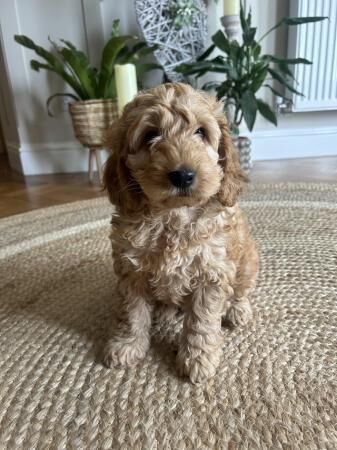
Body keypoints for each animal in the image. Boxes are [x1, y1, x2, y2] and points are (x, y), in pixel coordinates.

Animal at [102, 81, 258, 384]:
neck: (172, 216)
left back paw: (237, 309)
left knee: (241, 290)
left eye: (201, 132)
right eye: (151, 135)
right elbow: (132, 312)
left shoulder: (212, 272)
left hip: (247, 260)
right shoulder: (131, 270)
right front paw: (128, 345)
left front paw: (198, 359)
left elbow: (201, 320)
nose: (183, 175)